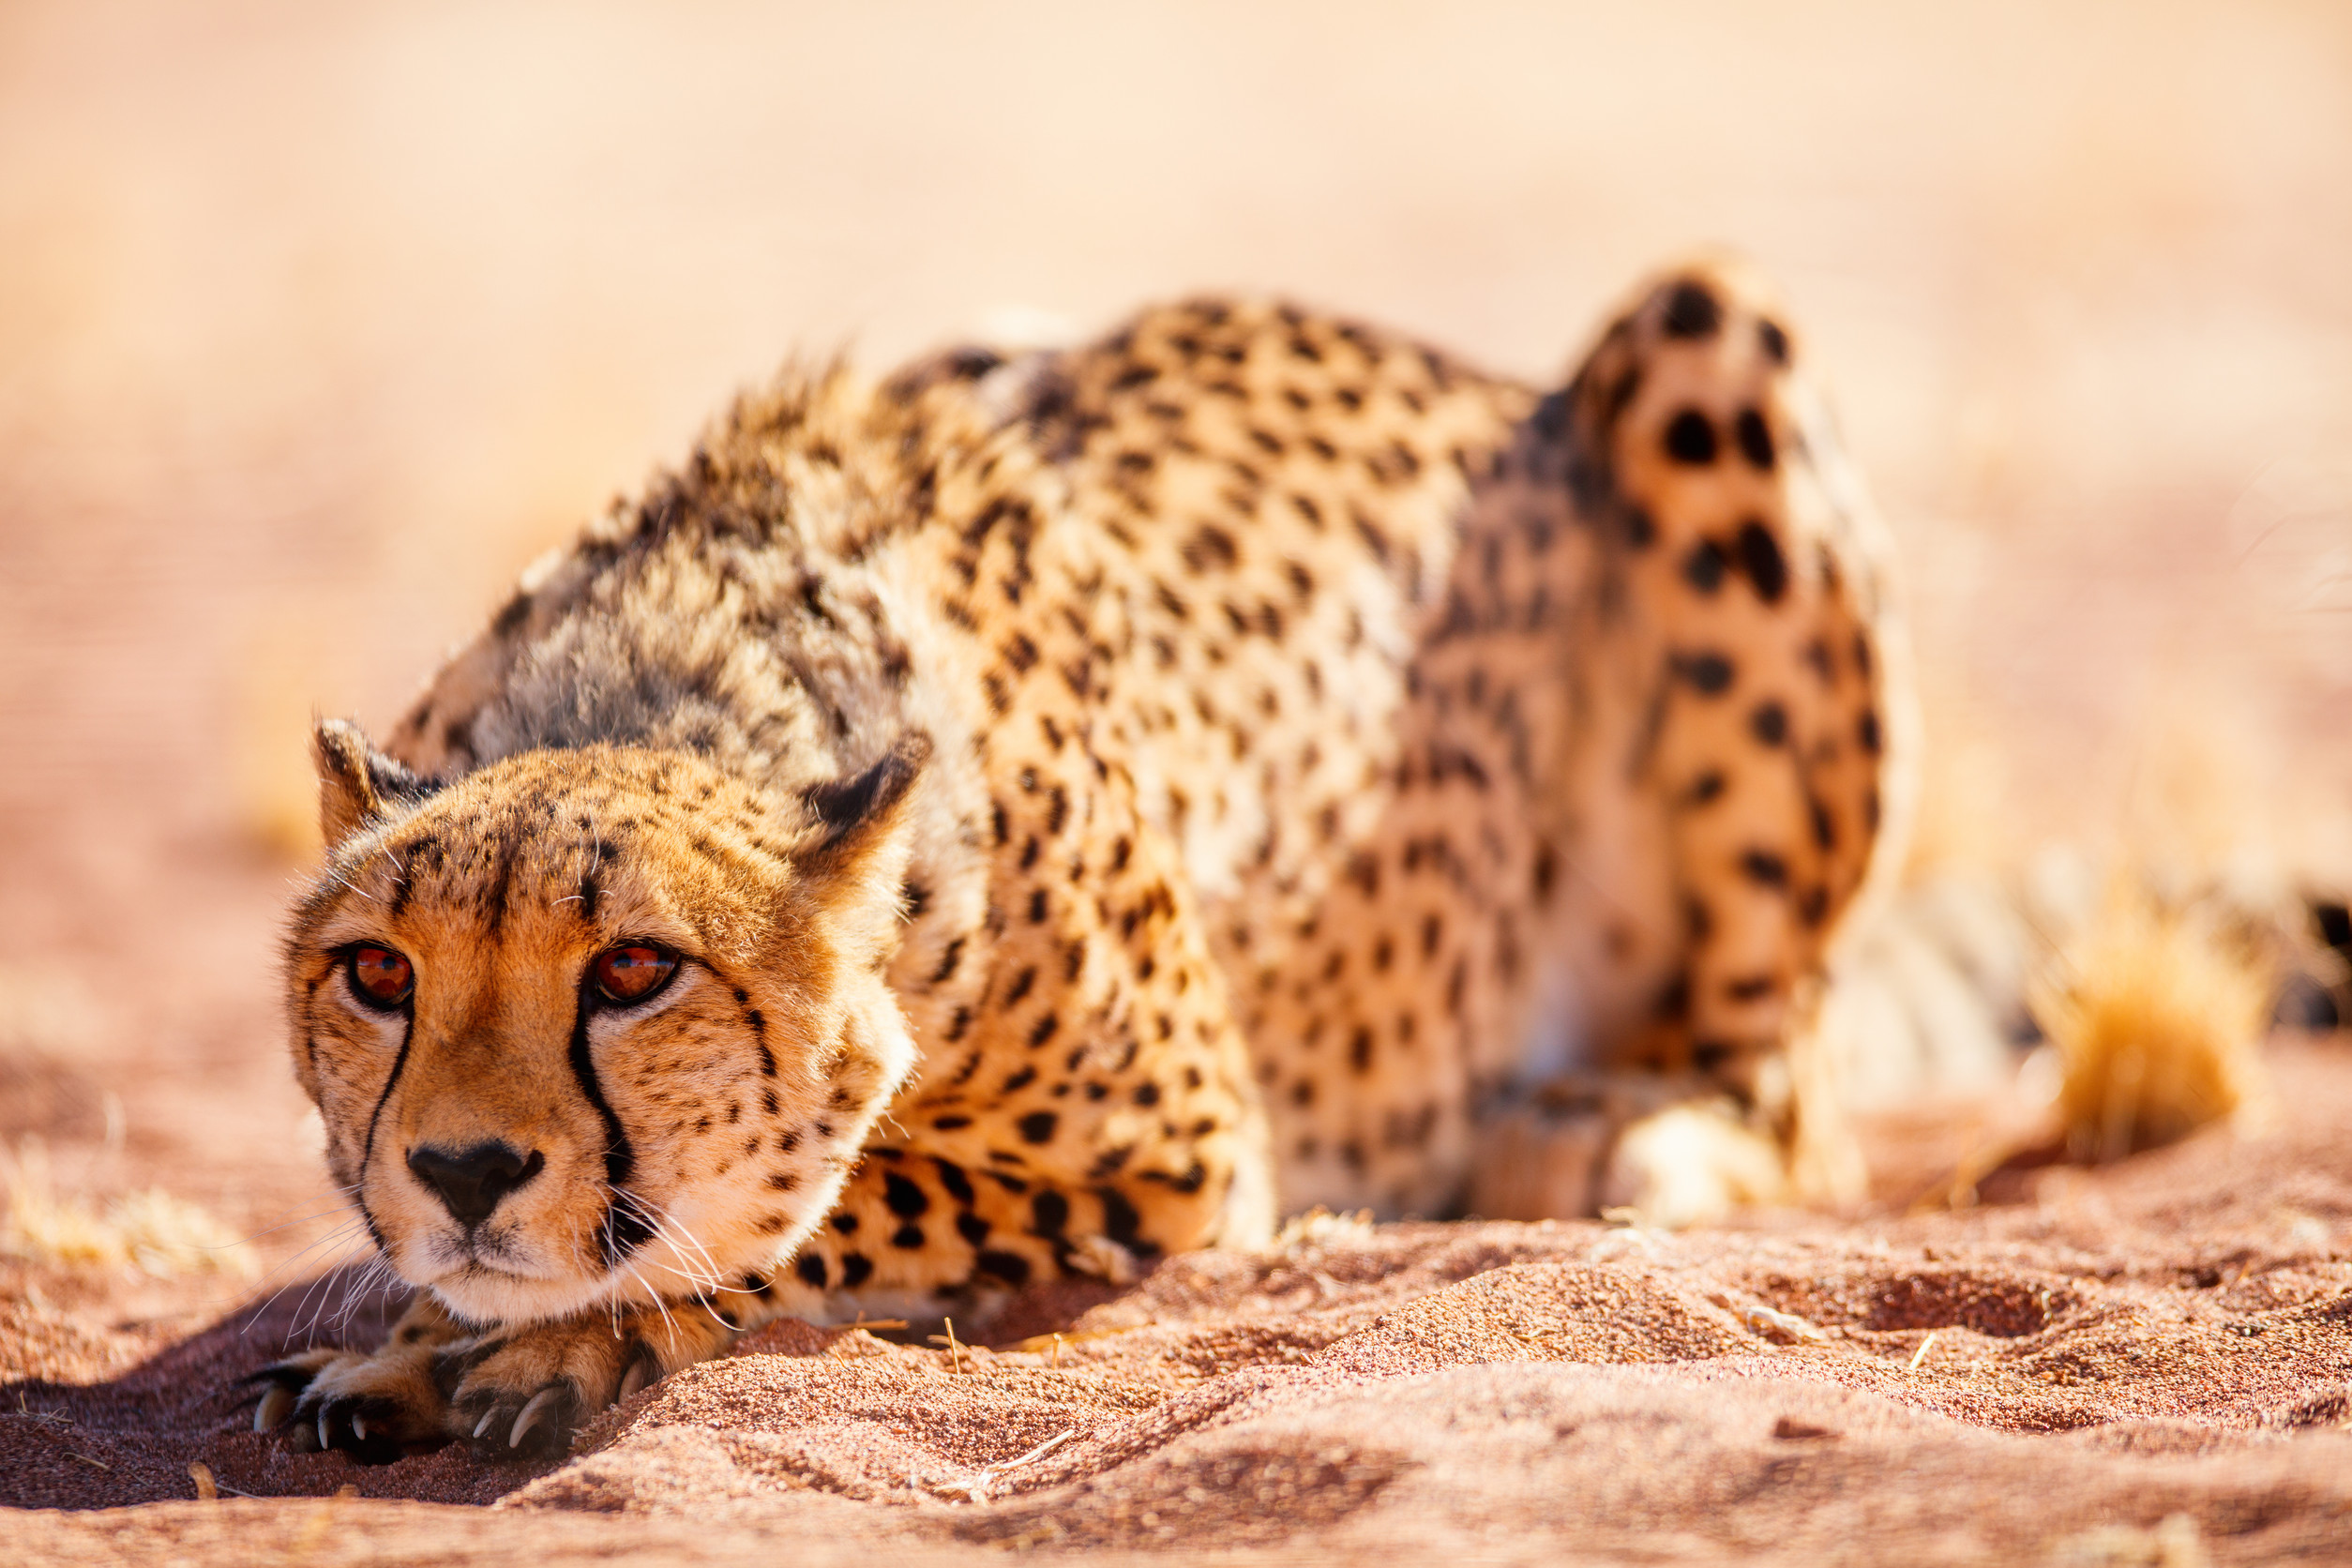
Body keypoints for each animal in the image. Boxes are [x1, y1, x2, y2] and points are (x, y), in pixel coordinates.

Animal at [252, 257, 1909, 1457]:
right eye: (380, 974)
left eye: (634, 972)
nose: (463, 1168)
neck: (678, 672)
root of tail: (1492, 380)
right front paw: (418, 1340)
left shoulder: (1184, 1155)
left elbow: (840, 1201)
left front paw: (541, 1337)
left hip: (1708, 334)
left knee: (1785, 1092)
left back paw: (1613, 1134)